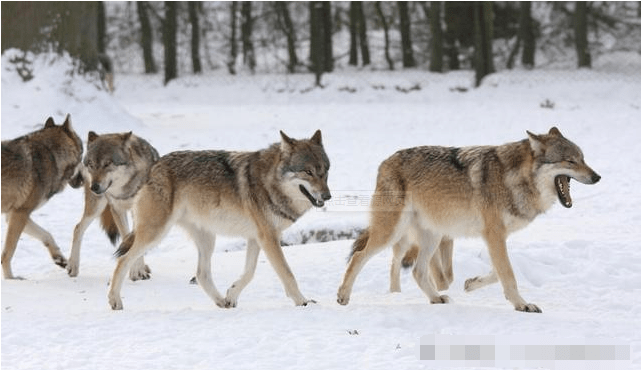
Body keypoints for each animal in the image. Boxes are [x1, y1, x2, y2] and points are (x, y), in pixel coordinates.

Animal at [0, 114, 84, 278]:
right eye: (83, 155)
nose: (84, 180)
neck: (52, 156)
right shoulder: (20, 213)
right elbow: (8, 253)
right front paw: (10, 279)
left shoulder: (14, 214)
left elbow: (47, 235)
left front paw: (59, 258)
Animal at [66, 132, 160, 278]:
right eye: (92, 164)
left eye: (107, 164)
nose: (94, 187)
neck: (125, 191)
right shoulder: (117, 209)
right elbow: (127, 239)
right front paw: (136, 271)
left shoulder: (140, 212)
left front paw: (138, 270)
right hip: (96, 207)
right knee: (77, 228)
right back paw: (72, 266)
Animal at [107, 130, 330, 310]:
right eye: (308, 172)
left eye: (325, 171)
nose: (327, 196)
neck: (270, 183)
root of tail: (154, 165)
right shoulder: (268, 238)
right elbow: (287, 274)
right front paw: (303, 302)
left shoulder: (257, 238)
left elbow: (249, 272)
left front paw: (231, 295)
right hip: (156, 233)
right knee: (123, 260)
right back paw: (115, 300)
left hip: (207, 240)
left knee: (201, 274)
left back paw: (221, 302)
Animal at [340, 127, 600, 312]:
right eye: (570, 161)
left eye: (583, 158)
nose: (597, 177)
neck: (513, 179)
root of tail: (385, 161)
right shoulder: (494, 235)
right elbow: (508, 273)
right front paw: (522, 304)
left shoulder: (495, 237)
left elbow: (499, 271)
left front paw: (471, 283)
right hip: (393, 232)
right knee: (359, 256)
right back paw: (343, 295)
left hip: (433, 236)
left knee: (417, 271)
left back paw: (436, 299)